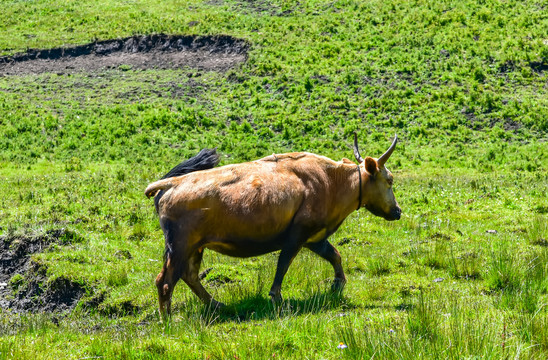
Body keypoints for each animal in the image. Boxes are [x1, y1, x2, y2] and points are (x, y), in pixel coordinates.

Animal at [146, 134, 400, 316]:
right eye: (389, 180)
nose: (398, 211)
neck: (330, 180)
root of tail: (172, 182)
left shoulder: (315, 238)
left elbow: (335, 255)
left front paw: (337, 285)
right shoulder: (297, 236)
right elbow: (283, 265)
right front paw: (277, 298)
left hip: (194, 247)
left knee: (189, 276)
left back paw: (217, 304)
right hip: (180, 247)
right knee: (166, 282)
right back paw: (167, 319)